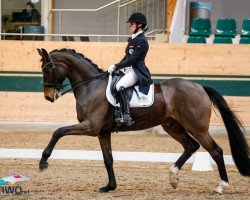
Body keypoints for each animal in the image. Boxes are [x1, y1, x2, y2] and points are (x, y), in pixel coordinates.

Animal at [37, 48, 250, 194]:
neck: (91, 85)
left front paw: (43, 162)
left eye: (47, 69)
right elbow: (108, 159)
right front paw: (110, 186)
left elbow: (58, 131)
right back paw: (173, 177)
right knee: (191, 146)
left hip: (197, 127)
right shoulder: (102, 132)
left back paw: (220, 187)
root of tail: (200, 87)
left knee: (215, 151)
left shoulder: (91, 127)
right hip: (172, 126)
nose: (48, 97)